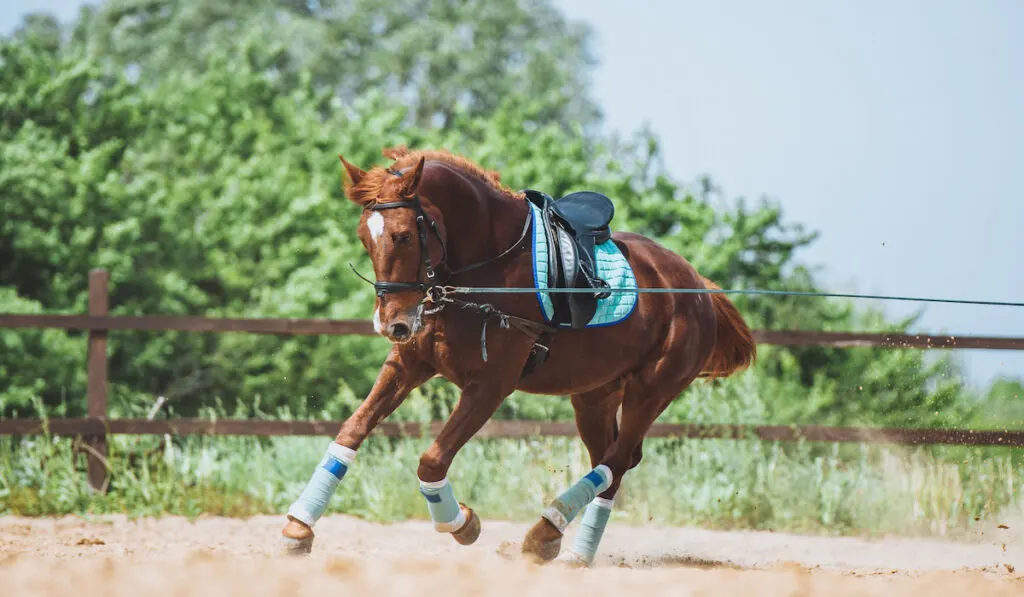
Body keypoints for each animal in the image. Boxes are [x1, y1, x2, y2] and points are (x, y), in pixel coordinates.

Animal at [276, 146, 757, 565]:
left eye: (403, 236)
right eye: (365, 239)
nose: (391, 324)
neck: (483, 271)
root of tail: (697, 285)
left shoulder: (490, 385)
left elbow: (431, 461)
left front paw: (462, 523)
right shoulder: (408, 365)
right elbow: (351, 432)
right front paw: (299, 527)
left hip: (651, 390)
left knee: (618, 458)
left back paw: (545, 531)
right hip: (595, 396)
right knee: (613, 461)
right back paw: (574, 552)